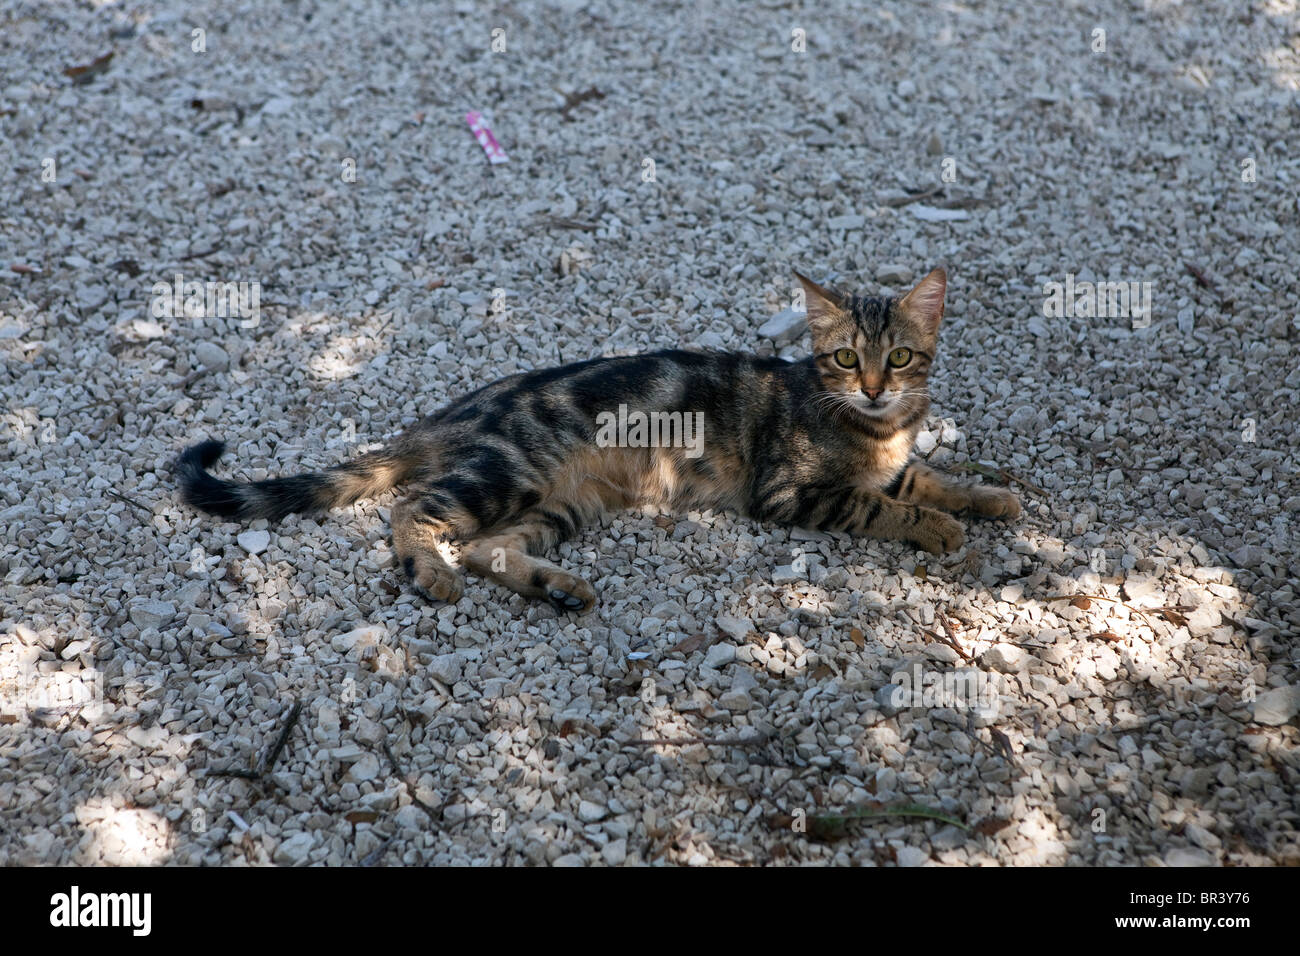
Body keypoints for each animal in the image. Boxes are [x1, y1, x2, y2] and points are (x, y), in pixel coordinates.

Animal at [178, 267, 1019, 613]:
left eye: (899, 357)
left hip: (563, 504)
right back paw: (431, 573)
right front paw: (939, 527)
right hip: (509, 471)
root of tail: (455, 411)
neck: (876, 427)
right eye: (846, 358)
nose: (874, 387)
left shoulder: (890, 460)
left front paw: (990, 496)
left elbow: (924, 478)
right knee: (415, 512)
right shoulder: (790, 492)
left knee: (488, 549)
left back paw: (557, 587)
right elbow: (882, 505)